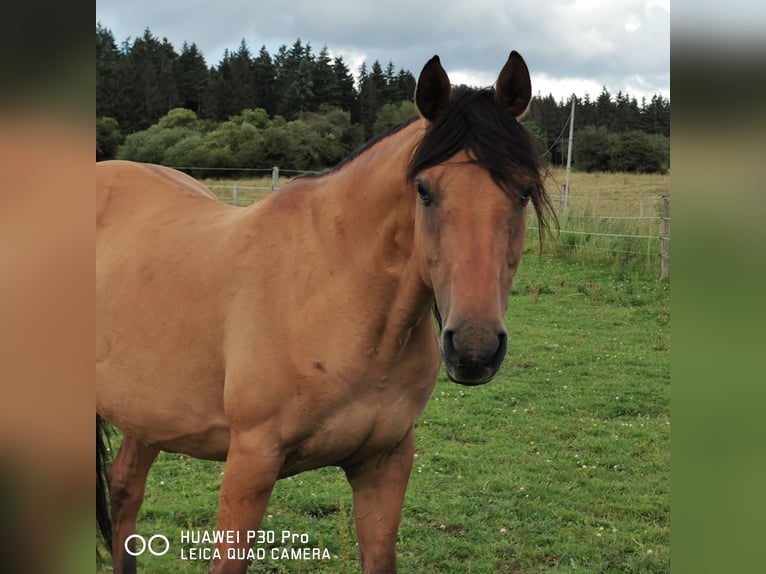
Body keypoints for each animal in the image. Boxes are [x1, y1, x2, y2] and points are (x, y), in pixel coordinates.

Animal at [96, 50, 555, 574]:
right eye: (424, 189)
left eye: (523, 190)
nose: (474, 348)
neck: (339, 296)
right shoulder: (251, 462)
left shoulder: (385, 464)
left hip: (148, 415)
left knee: (125, 490)